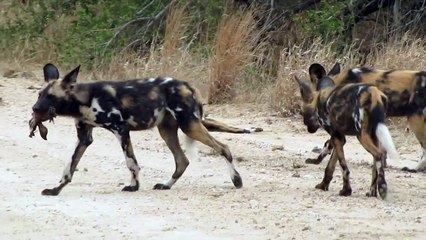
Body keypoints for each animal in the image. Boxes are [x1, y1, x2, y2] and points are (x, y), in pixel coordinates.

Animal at [30, 63, 246, 195]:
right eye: (39, 95)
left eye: (50, 97)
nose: (35, 109)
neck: (84, 100)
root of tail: (188, 85)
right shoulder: (84, 138)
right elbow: (69, 167)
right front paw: (56, 189)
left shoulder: (121, 130)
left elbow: (131, 163)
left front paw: (134, 186)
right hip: (167, 130)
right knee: (182, 161)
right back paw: (165, 185)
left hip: (189, 126)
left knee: (223, 148)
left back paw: (236, 180)